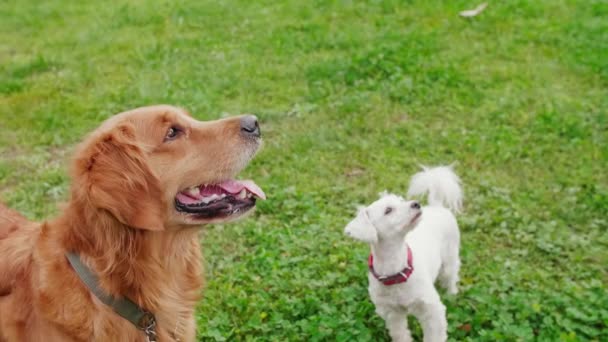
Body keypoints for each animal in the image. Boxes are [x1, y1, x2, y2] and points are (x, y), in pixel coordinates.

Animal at [344, 166, 464, 342]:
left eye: (401, 201)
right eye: (388, 210)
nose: (416, 204)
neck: (397, 270)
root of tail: (436, 205)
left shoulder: (431, 310)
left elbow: (434, 335)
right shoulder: (392, 313)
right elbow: (400, 332)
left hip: (450, 256)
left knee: (451, 275)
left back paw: (452, 294)